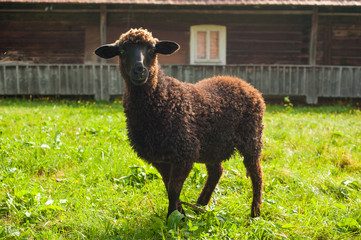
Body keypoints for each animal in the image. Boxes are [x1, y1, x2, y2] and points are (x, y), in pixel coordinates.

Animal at [95, 28, 264, 219]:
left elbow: (174, 189)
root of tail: (244, 83)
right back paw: (201, 204)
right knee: (217, 171)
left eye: (152, 49)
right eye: (122, 51)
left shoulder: (184, 153)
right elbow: (169, 186)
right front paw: (180, 213)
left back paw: (255, 212)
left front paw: (173, 216)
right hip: (212, 145)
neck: (161, 100)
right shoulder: (159, 158)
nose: (139, 70)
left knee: (257, 173)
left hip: (252, 137)